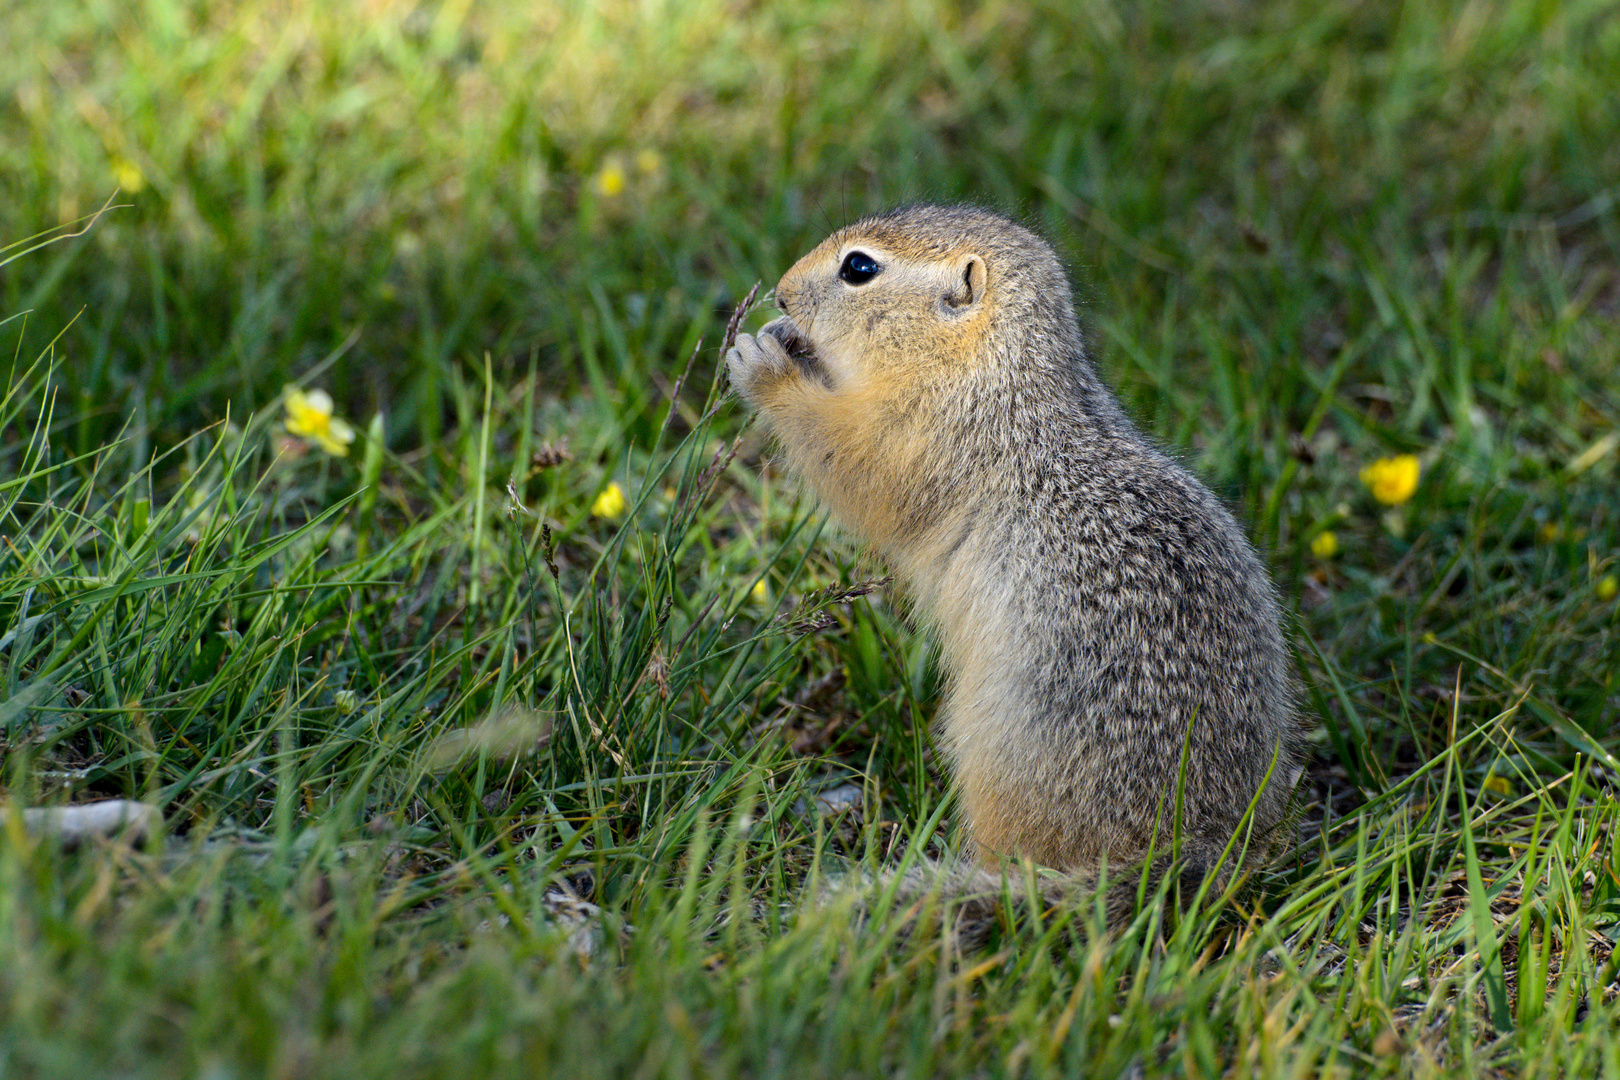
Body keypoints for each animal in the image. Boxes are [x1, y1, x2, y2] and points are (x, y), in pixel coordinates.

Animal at [729, 207, 1308, 932]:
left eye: (859, 268)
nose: (780, 295)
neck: (998, 373)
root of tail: (1190, 847)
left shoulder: (919, 436)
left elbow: (850, 459)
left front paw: (762, 362)